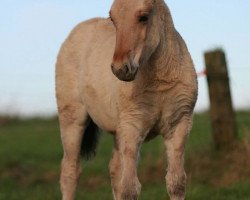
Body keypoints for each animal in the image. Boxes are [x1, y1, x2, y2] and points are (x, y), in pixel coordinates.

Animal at [56, 0, 197, 200]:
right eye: (113, 19)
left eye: (144, 17)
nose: (120, 69)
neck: (159, 80)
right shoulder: (132, 126)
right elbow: (130, 188)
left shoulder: (179, 124)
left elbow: (176, 183)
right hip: (72, 118)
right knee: (70, 171)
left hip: (117, 130)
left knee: (114, 170)